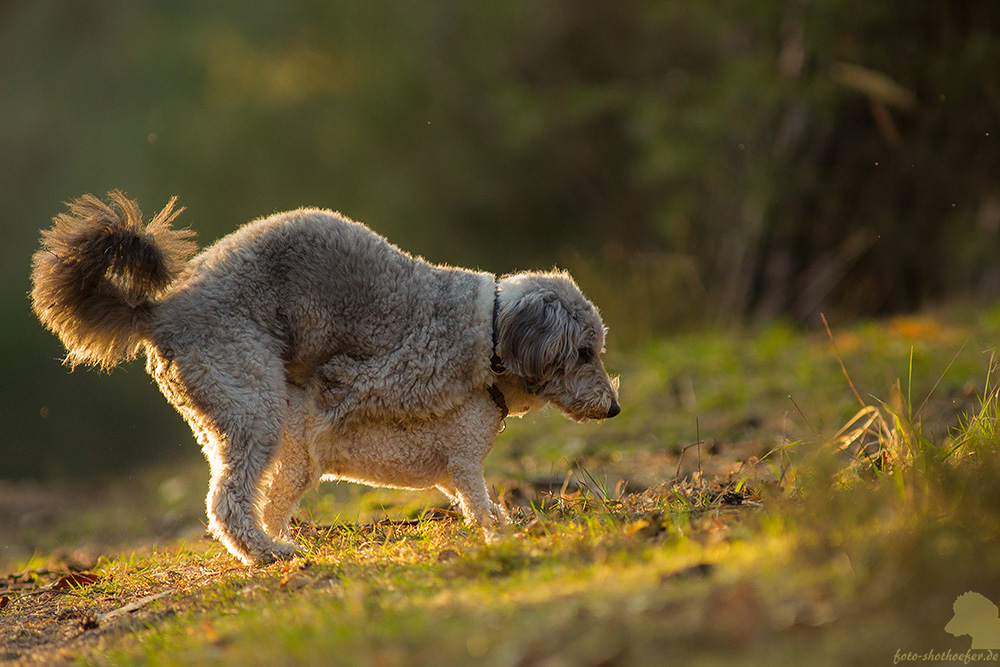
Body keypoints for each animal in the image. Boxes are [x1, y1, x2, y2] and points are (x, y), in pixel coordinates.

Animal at [31, 192, 620, 564]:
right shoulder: (368, 378)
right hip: (253, 403)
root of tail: (161, 310)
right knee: (227, 501)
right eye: (585, 352)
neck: (487, 326)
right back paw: (268, 552)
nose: (614, 408)